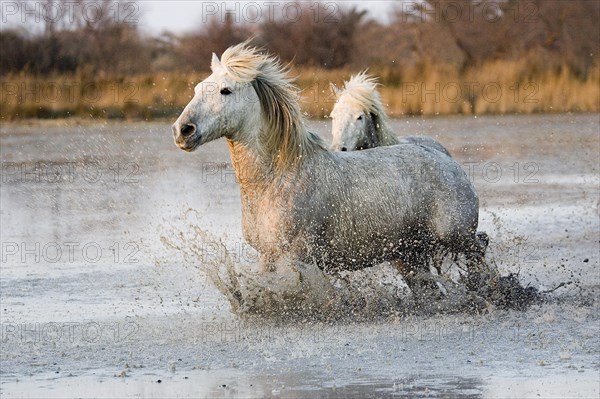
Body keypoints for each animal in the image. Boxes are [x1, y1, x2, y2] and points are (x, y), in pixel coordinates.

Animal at [170, 43, 488, 294]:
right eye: (197, 89)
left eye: (226, 90)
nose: (182, 130)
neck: (276, 180)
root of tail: (448, 162)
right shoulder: (267, 257)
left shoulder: (297, 259)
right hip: (409, 255)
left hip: (457, 237)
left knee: (481, 253)